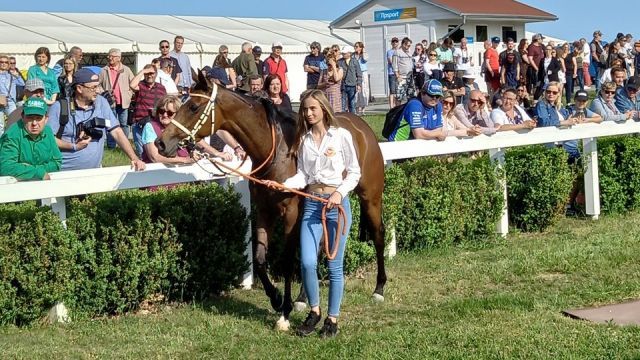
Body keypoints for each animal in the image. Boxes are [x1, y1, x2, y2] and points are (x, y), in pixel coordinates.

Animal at [156, 74, 384, 332]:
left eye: (194, 106)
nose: (161, 143)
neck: (277, 151)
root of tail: (362, 127)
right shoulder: (264, 211)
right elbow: (260, 259)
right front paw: (276, 298)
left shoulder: (291, 213)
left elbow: (286, 260)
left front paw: (284, 312)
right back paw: (303, 299)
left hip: (370, 198)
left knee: (378, 235)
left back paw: (379, 289)